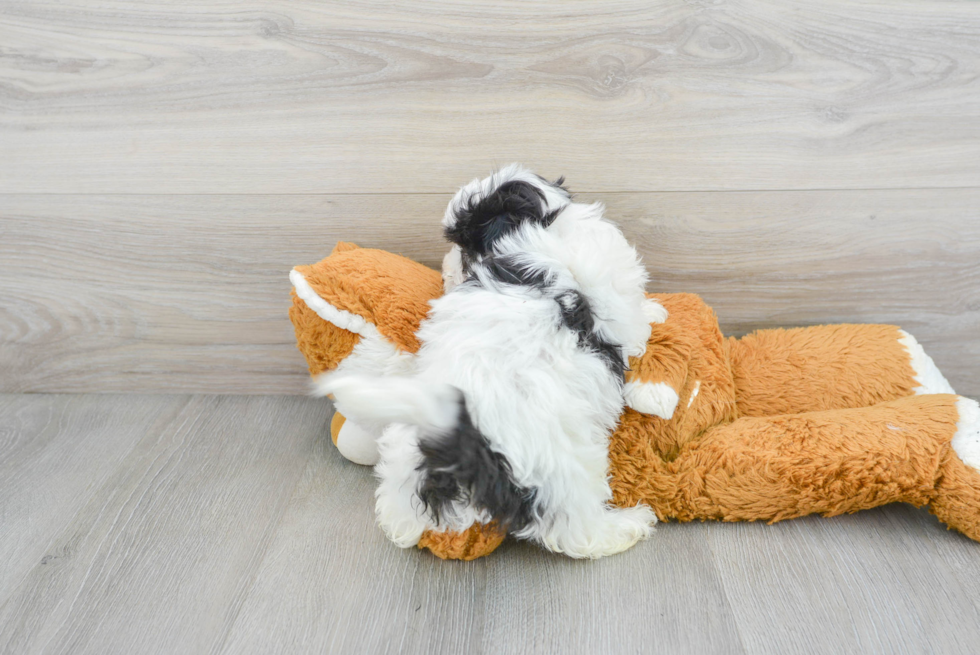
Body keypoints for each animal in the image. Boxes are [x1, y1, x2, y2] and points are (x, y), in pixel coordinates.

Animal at [318, 164, 664, 560]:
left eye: (463, 244)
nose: (446, 268)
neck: (544, 228)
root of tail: (461, 441)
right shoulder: (618, 298)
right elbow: (637, 323)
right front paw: (656, 311)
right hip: (563, 464)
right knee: (574, 529)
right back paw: (627, 525)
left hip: (405, 445)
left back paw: (400, 521)